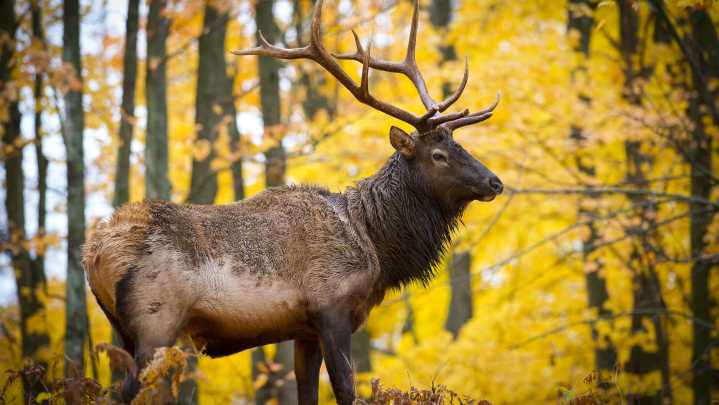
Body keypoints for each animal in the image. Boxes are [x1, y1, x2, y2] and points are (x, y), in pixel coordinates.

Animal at [83, 0, 503, 403]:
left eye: (460, 145)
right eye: (438, 155)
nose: (494, 182)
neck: (376, 247)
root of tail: (94, 253)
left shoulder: (304, 330)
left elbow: (308, 394)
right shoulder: (330, 307)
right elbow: (347, 389)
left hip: (124, 329)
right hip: (155, 321)